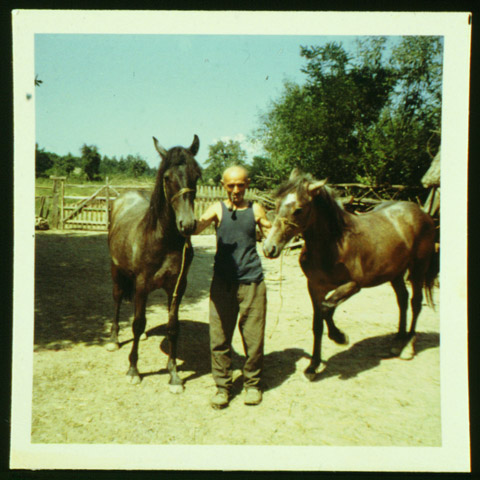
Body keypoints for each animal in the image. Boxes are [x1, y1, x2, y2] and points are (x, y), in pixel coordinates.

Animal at [106, 134, 202, 390]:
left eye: (197, 174)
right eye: (167, 177)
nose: (187, 224)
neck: (162, 239)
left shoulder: (177, 287)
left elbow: (173, 327)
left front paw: (174, 375)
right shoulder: (141, 285)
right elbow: (138, 323)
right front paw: (133, 370)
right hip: (116, 271)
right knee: (117, 299)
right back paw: (114, 339)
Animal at [262, 171, 438, 380]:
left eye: (298, 209)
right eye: (276, 204)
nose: (269, 248)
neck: (334, 245)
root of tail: (422, 213)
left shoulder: (353, 285)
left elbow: (327, 308)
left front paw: (340, 337)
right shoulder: (314, 287)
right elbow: (317, 324)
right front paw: (313, 366)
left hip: (418, 268)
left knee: (415, 302)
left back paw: (408, 346)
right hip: (395, 273)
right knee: (402, 300)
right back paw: (398, 341)